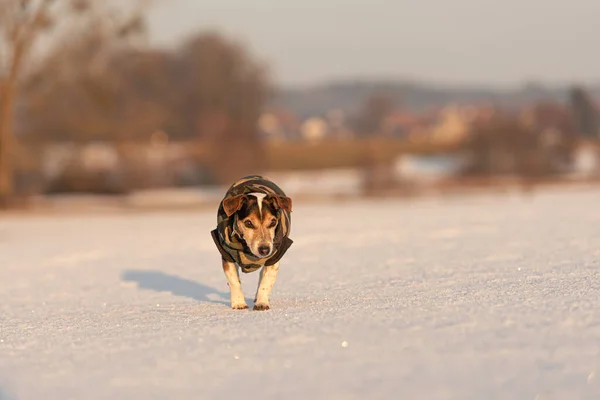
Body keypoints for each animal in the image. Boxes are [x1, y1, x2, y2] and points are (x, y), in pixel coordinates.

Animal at [212, 177, 294, 310]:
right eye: (248, 223)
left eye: (273, 222)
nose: (264, 250)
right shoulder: (226, 254)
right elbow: (234, 280)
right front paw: (238, 303)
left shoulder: (275, 255)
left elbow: (267, 280)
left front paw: (261, 303)